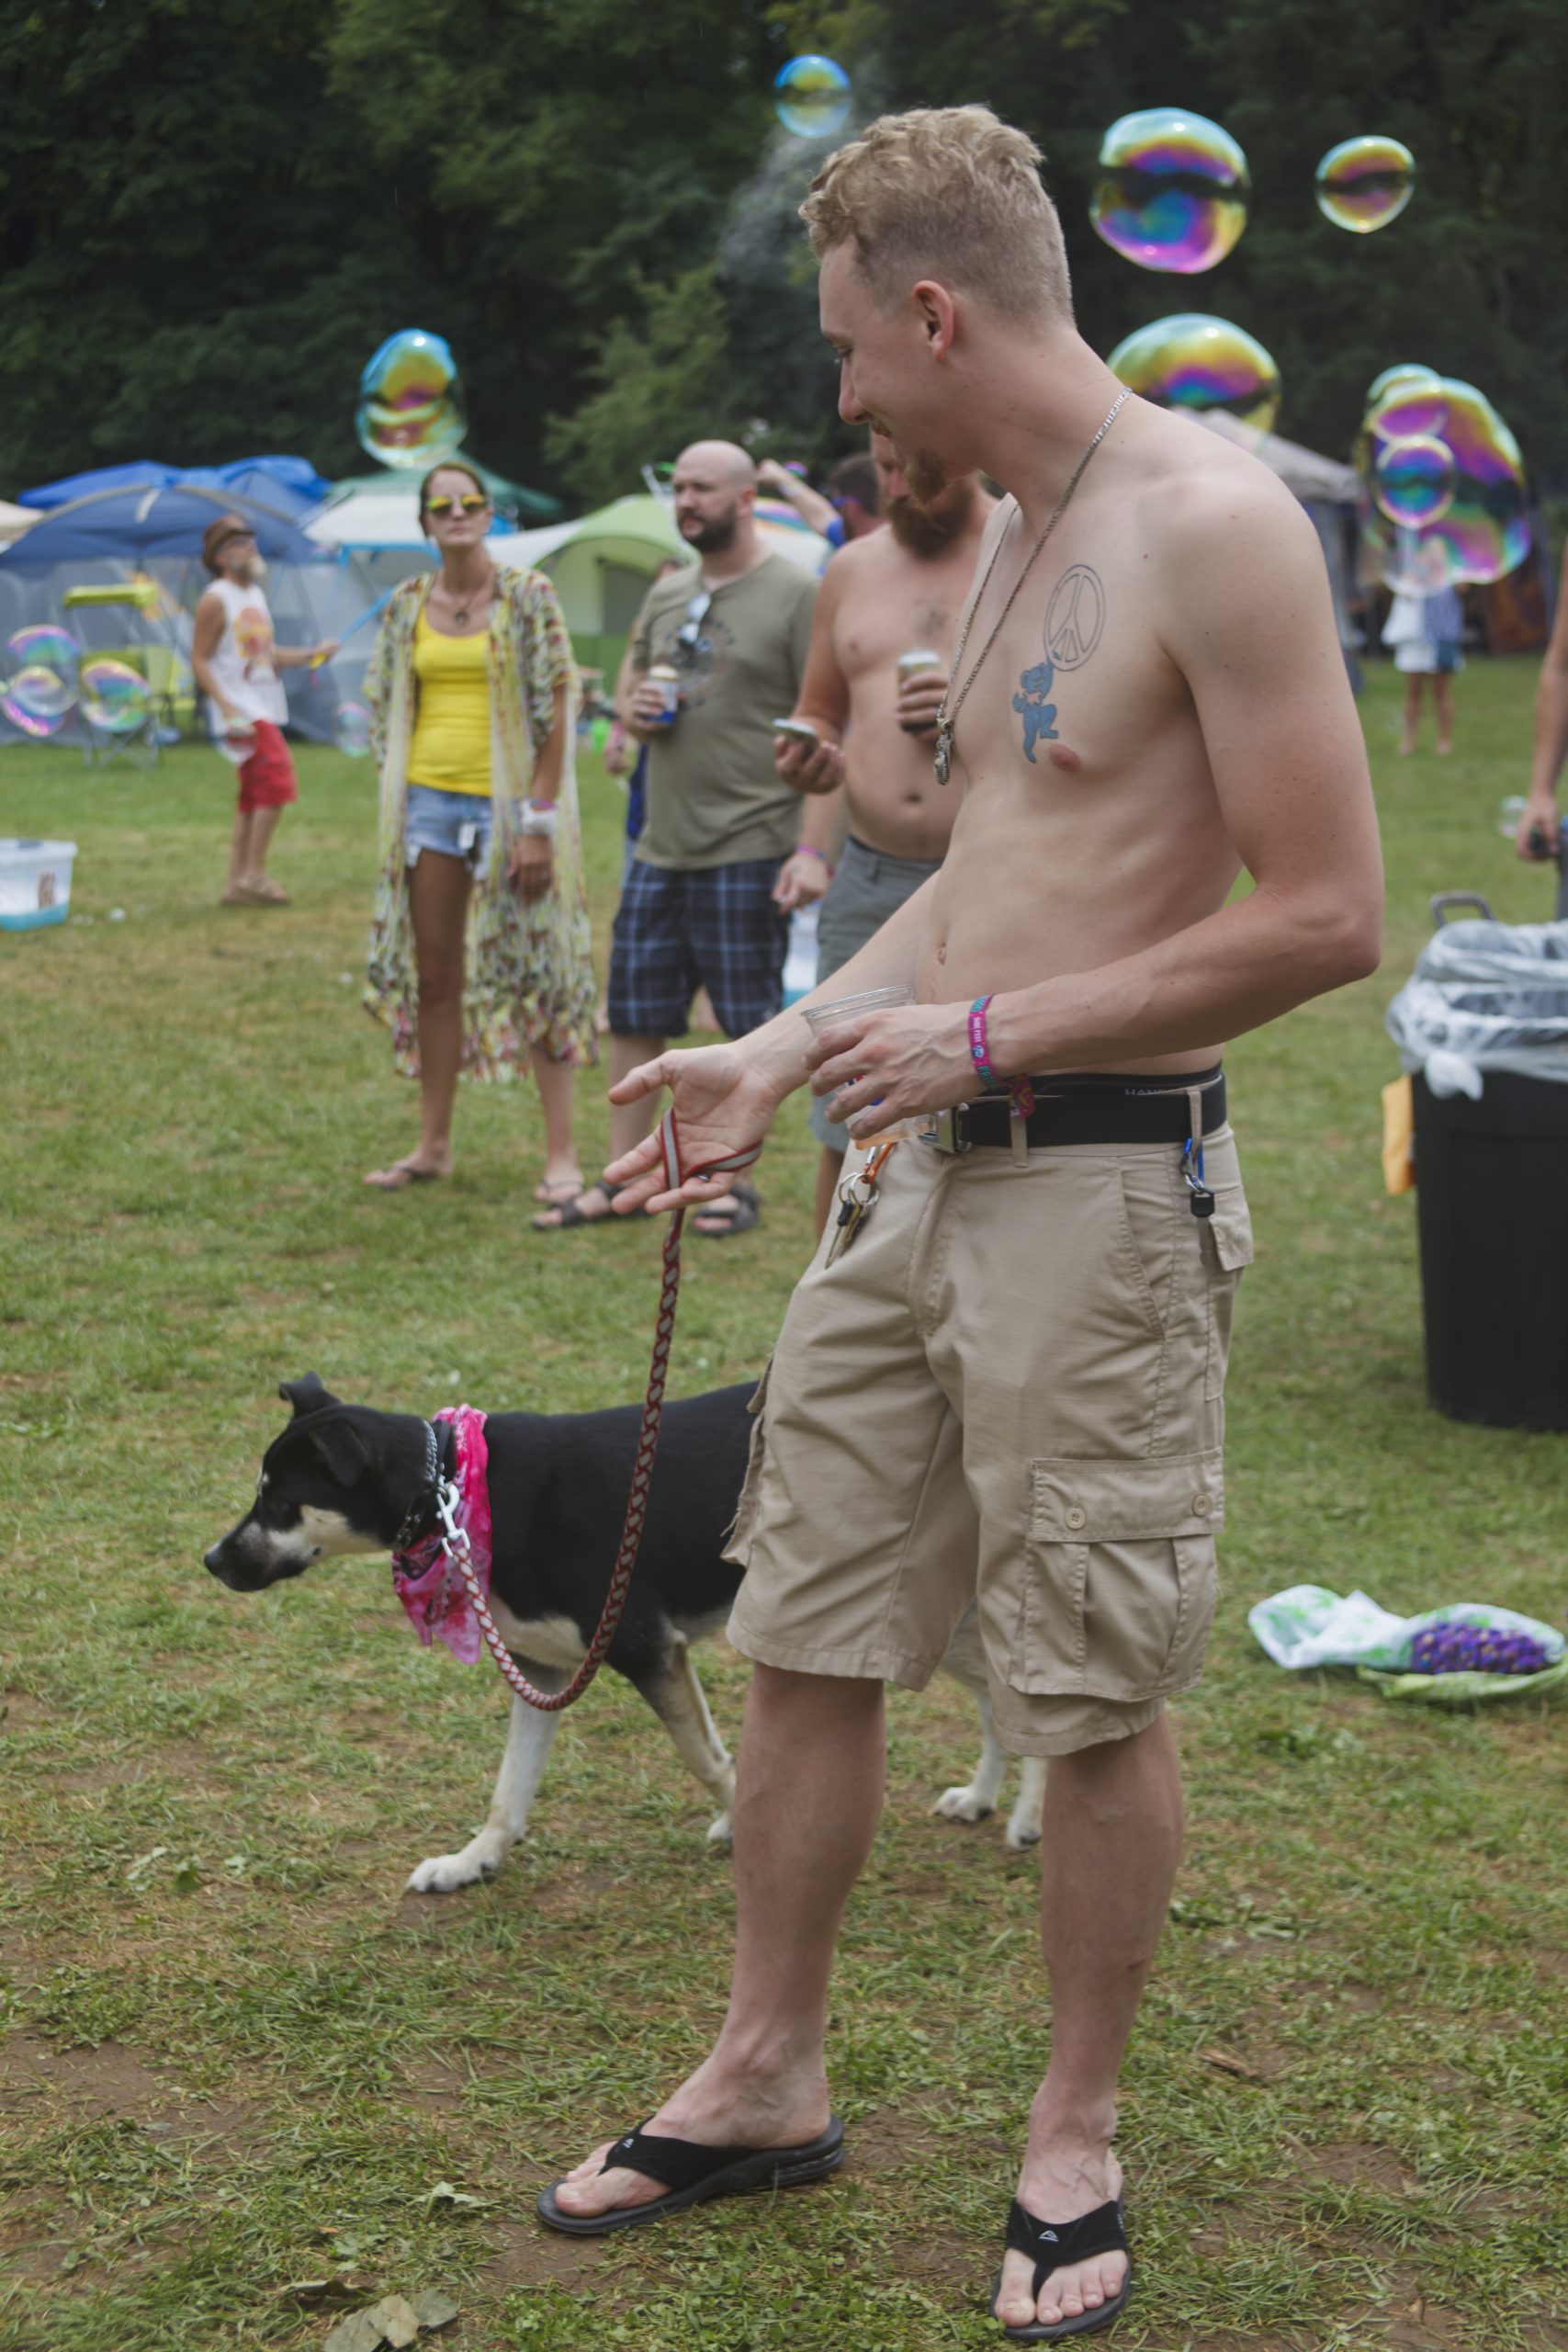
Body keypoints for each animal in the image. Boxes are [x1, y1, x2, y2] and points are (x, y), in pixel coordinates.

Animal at [204, 1375, 1046, 1892]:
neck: (452, 1487)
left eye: (277, 1501)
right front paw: (471, 1862)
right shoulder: (542, 1673)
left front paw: (740, 1827)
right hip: (933, 1619)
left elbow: (708, 1761)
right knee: (995, 1707)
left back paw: (1030, 1818)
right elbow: (508, 1791)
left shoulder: (648, 1650)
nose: (211, 1560)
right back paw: (981, 1797)